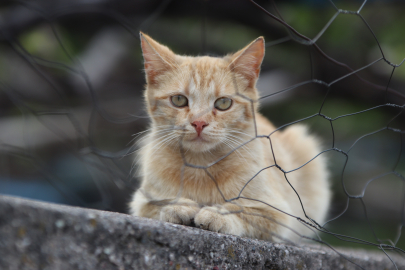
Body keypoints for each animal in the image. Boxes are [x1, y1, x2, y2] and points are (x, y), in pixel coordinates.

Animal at [128, 32, 330, 242]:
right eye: (178, 100)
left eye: (223, 103)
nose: (199, 123)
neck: (201, 166)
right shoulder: (141, 200)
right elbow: (156, 205)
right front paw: (177, 206)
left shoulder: (276, 214)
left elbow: (242, 211)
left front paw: (218, 214)